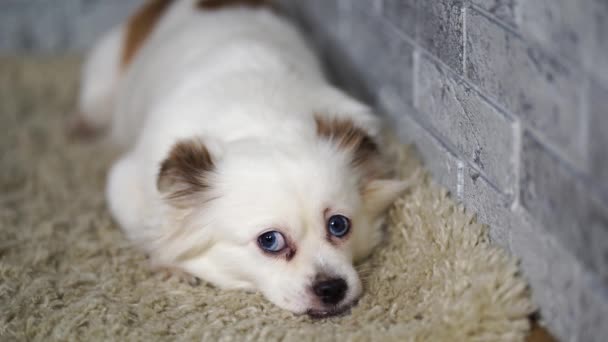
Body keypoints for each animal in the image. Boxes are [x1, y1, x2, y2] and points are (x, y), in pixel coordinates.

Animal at [75, 0, 408, 316]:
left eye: (339, 225)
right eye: (270, 241)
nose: (332, 288)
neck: (262, 123)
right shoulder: (124, 183)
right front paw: (170, 266)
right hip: (105, 78)